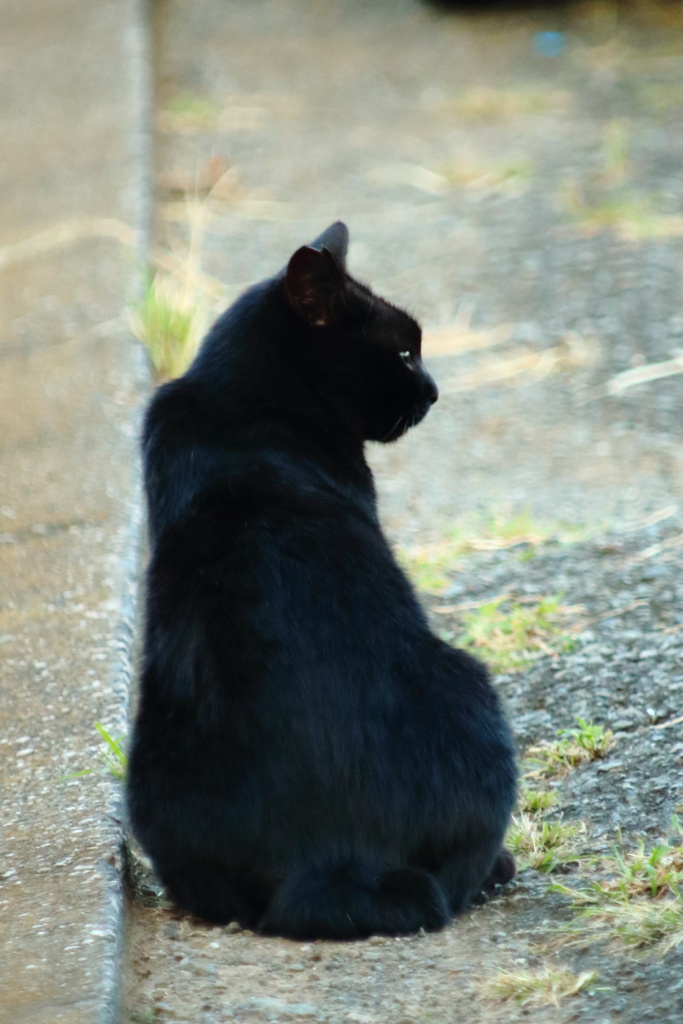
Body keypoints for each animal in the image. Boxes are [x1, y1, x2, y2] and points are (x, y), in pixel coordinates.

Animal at [125, 222, 516, 937]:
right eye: (405, 352)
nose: (435, 390)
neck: (239, 403)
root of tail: (332, 856)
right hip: (476, 688)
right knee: (454, 879)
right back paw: (497, 866)